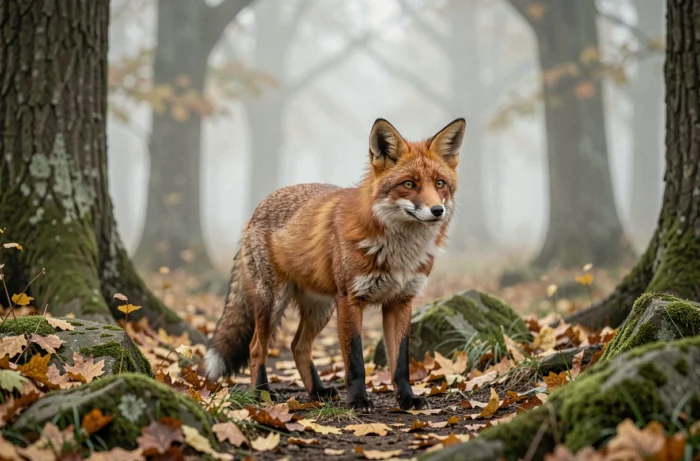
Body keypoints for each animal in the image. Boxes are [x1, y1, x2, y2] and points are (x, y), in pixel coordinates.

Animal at [205, 118, 465, 411]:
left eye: (440, 183)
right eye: (409, 184)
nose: (437, 211)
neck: (399, 253)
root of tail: (256, 211)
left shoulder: (400, 302)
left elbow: (400, 362)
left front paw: (407, 399)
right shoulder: (350, 300)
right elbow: (355, 360)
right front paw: (359, 401)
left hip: (321, 308)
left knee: (298, 346)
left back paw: (317, 391)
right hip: (273, 302)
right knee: (256, 347)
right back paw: (262, 393)